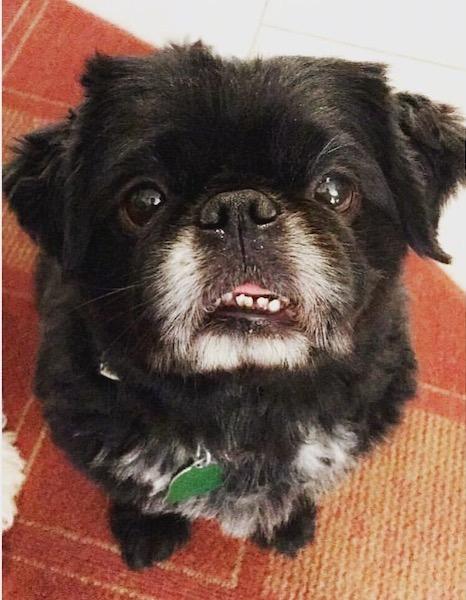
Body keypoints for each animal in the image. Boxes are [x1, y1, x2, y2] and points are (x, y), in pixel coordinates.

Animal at [4, 44, 466, 568]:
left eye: (334, 190)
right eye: (144, 200)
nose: (238, 208)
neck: (246, 405)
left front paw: (288, 523)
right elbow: (134, 491)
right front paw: (146, 528)